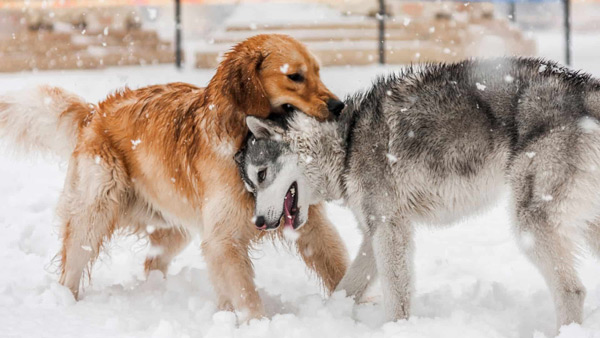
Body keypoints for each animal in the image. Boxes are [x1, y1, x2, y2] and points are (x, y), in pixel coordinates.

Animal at [239, 57, 600, 328]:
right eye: (249, 185)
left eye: (261, 175)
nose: (258, 222)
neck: (346, 143)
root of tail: (586, 90)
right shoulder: (374, 232)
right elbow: (346, 288)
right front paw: (326, 318)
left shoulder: (389, 228)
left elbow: (396, 295)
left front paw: (396, 329)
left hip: (529, 223)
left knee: (573, 291)